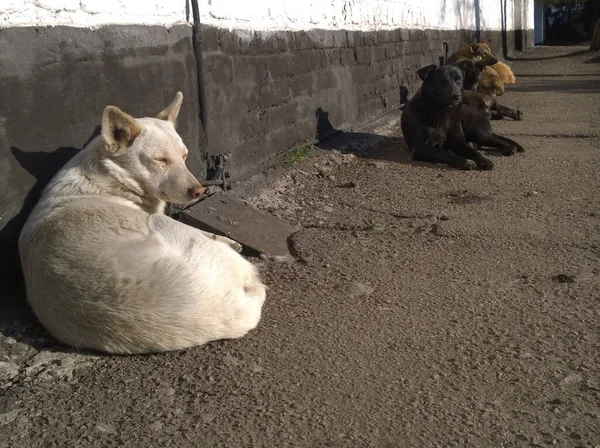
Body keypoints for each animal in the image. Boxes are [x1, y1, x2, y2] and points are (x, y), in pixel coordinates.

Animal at [18, 93, 268, 356]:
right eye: (160, 160)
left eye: (184, 156)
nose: (199, 191)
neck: (109, 176)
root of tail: (232, 307)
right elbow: (203, 231)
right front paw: (226, 239)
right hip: (160, 223)